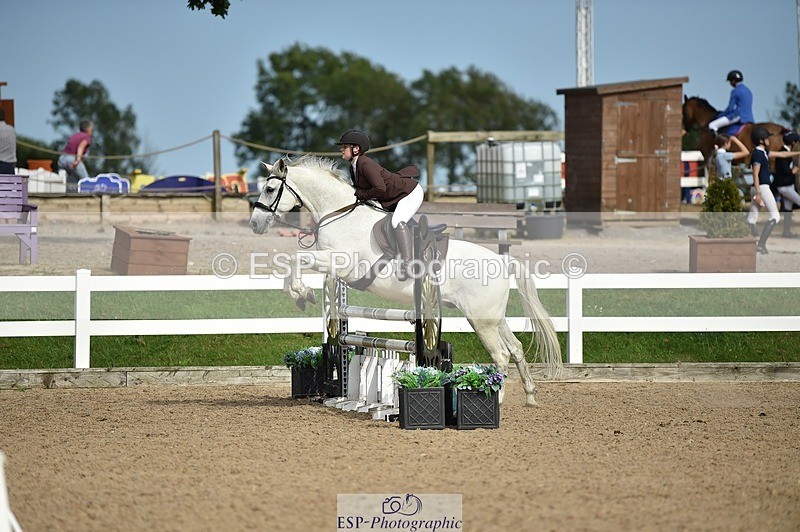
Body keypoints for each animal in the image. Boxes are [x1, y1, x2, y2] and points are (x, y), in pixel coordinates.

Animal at [248, 156, 562, 406]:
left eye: (270, 189)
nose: (255, 224)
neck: (340, 215)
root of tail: (503, 261)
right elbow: (298, 265)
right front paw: (303, 295)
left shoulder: (341, 264)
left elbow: (296, 260)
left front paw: (302, 294)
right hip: (493, 317)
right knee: (516, 348)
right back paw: (530, 396)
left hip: (481, 320)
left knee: (500, 355)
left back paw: (496, 397)